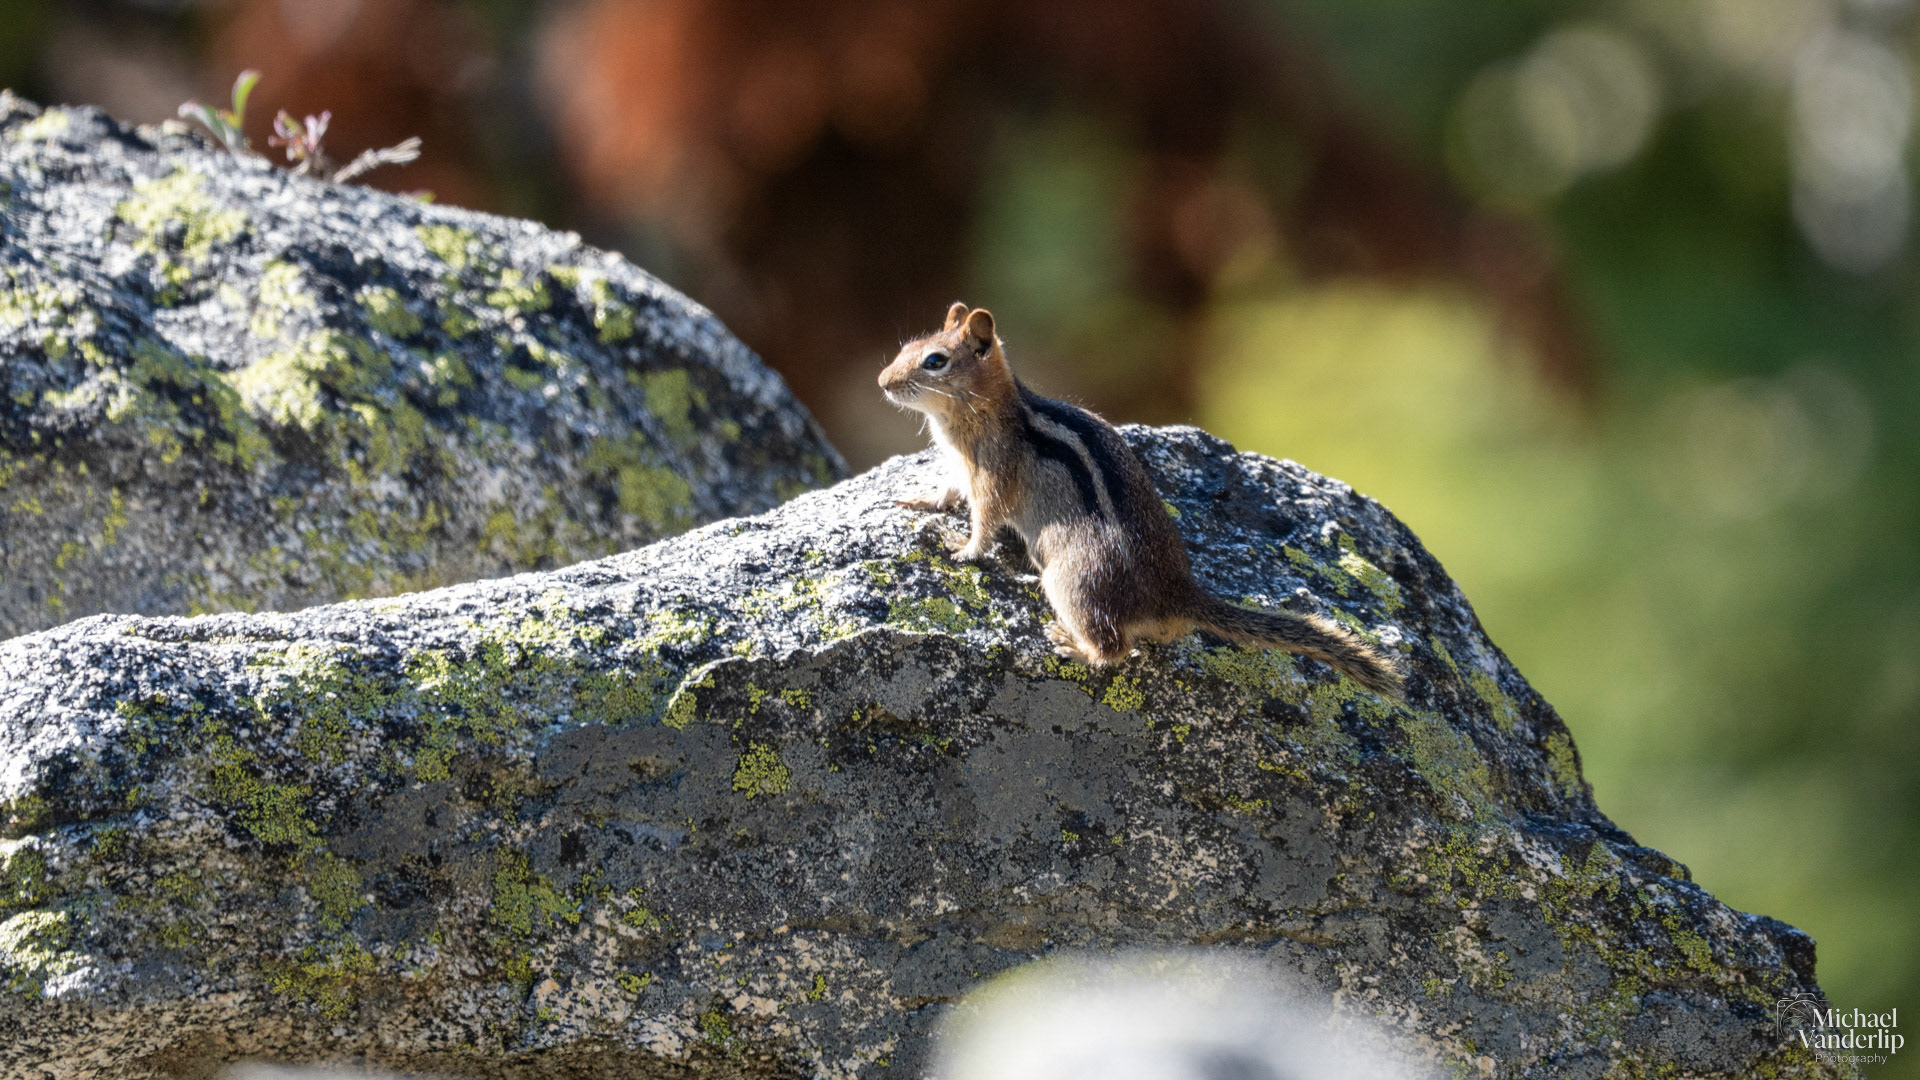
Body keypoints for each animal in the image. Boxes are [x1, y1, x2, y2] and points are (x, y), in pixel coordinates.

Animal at [878, 302, 1403, 699]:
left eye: (936, 361)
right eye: (904, 348)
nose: (883, 382)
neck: (983, 412)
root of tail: (1176, 594)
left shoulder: (992, 476)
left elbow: (985, 521)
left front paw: (963, 549)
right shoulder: (958, 469)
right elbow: (947, 492)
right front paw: (918, 501)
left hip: (1073, 580)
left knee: (1115, 650)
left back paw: (1071, 644)